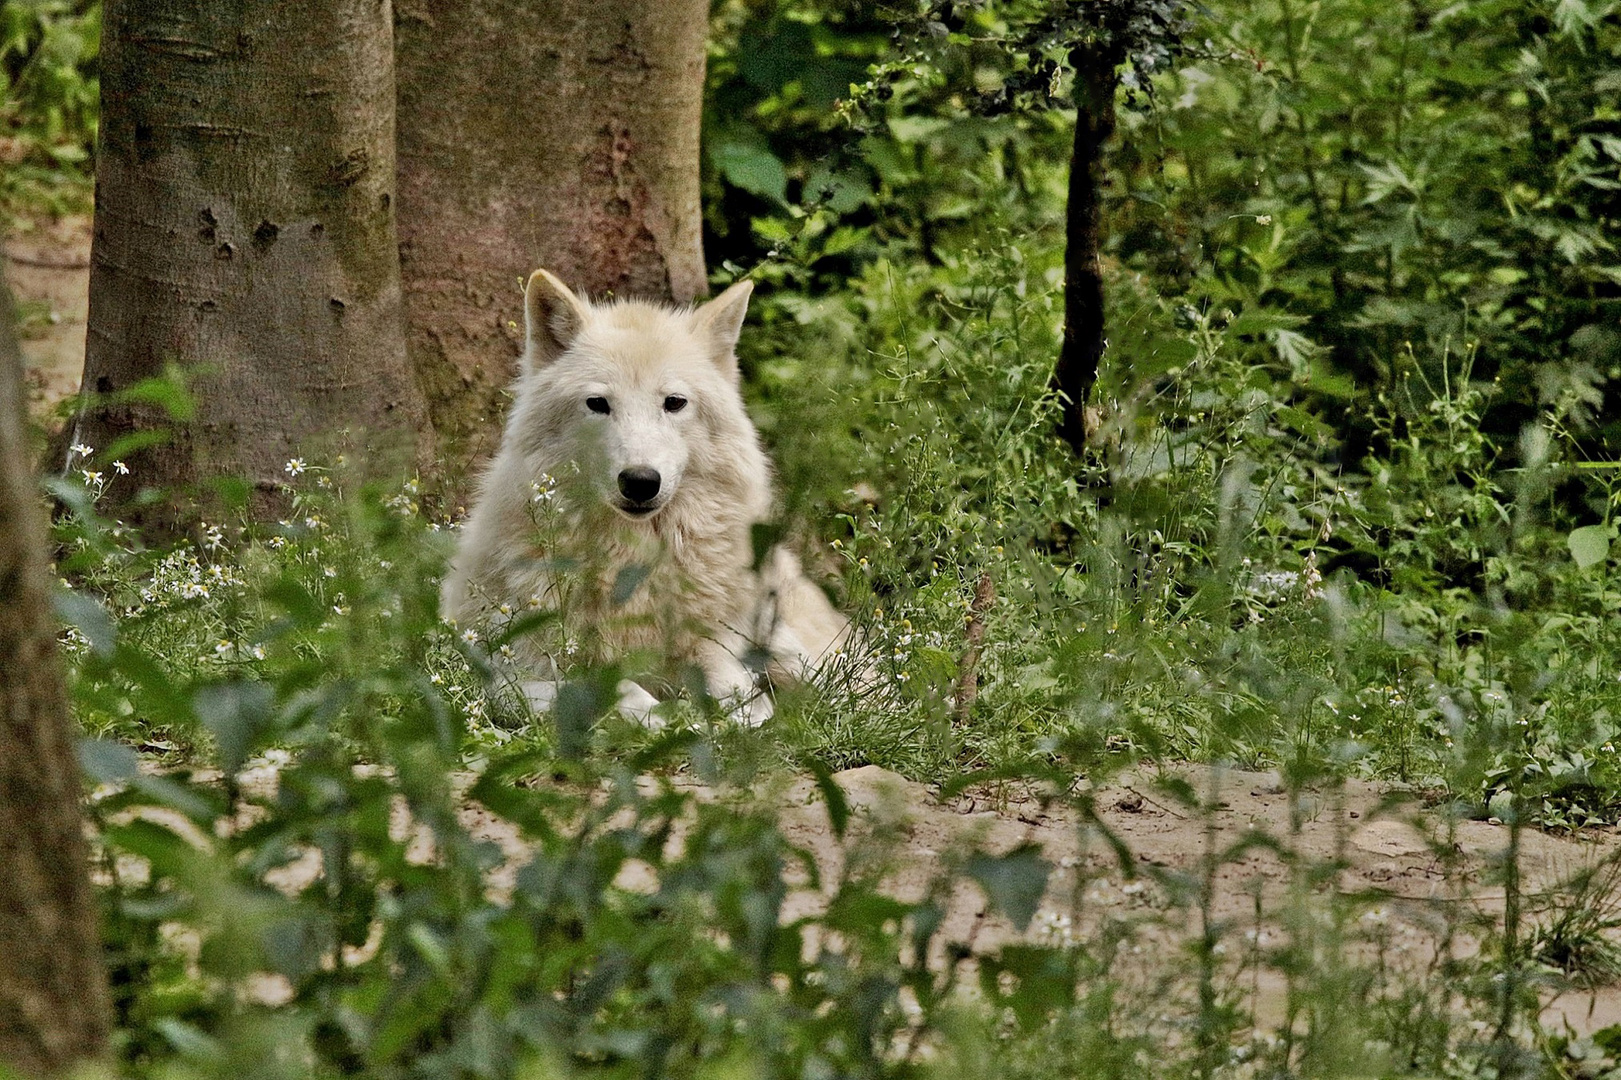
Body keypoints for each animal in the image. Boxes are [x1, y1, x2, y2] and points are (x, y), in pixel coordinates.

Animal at [437, 269, 855, 723]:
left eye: (674, 403)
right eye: (598, 403)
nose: (640, 481)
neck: (634, 563)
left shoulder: (715, 646)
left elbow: (734, 686)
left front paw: (742, 719)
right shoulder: (505, 677)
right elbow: (616, 690)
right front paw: (669, 719)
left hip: (788, 642)